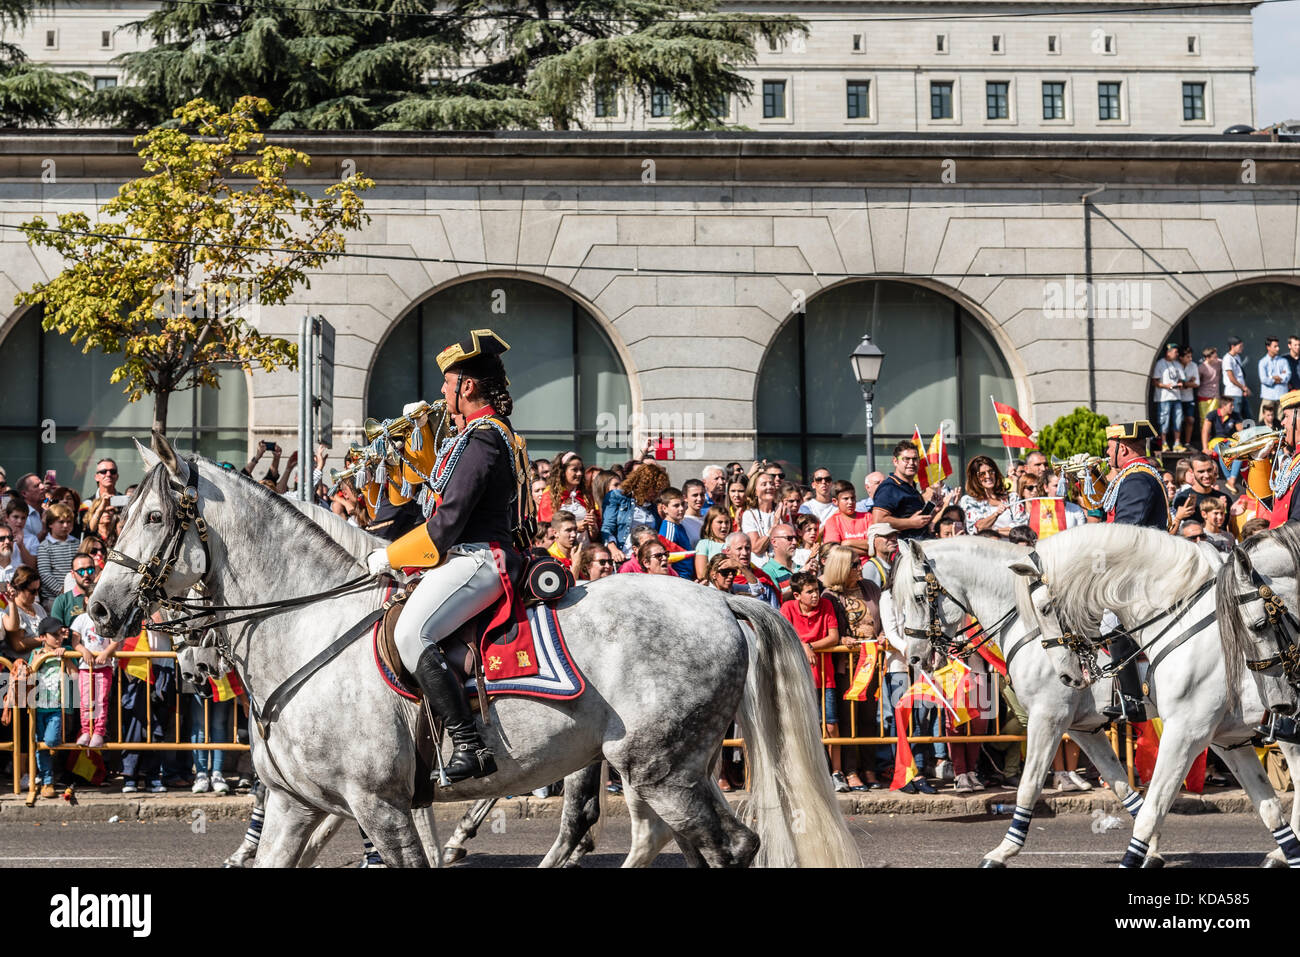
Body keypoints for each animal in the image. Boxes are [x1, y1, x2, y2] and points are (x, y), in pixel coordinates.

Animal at [91, 434, 863, 868]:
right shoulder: (295, 804)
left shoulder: (378, 804)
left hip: (663, 769)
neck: (307, 627)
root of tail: (719, 599)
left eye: (154, 516)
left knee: (717, 845)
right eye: (119, 515)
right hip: (660, 770)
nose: (99, 611)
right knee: (654, 839)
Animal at [1008, 522, 1300, 868]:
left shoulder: (1184, 733)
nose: (1066, 675)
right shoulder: (1226, 739)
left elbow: (1150, 809)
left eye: (1043, 609)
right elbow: (1269, 809)